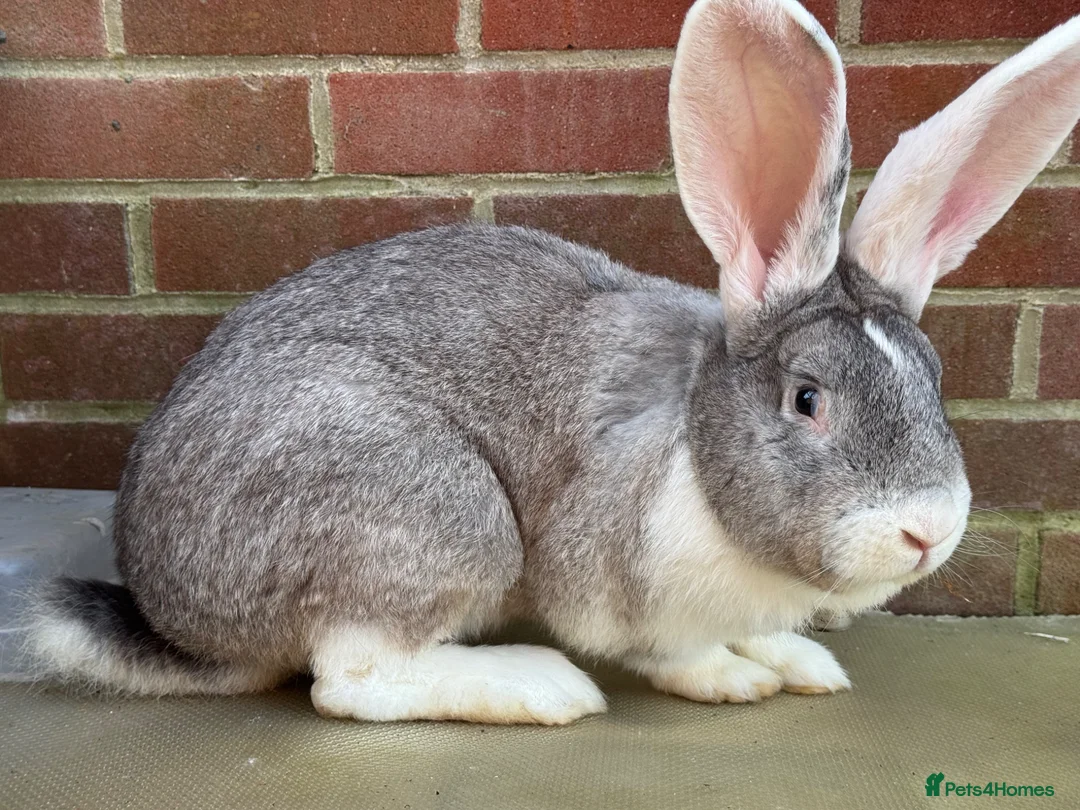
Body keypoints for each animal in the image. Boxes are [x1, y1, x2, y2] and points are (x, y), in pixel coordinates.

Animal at [24, 0, 1080, 724]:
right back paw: (539, 686)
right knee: (351, 680)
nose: (926, 532)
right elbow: (671, 651)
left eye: (934, 379)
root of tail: (181, 621)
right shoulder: (618, 569)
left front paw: (799, 663)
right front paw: (733, 678)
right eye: (807, 398)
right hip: (438, 513)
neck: (697, 453)